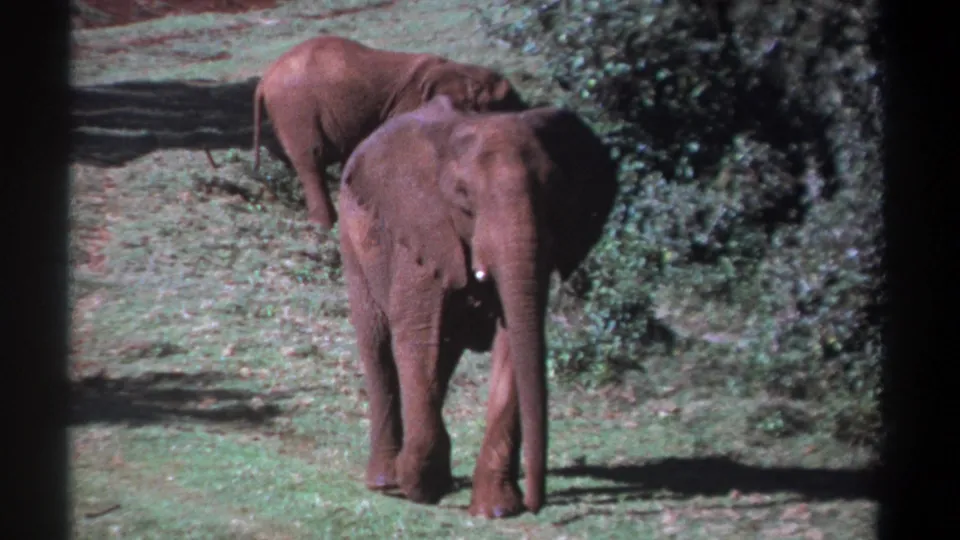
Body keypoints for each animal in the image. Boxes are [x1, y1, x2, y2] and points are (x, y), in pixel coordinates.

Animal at [251, 35, 528, 229]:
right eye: (503, 102)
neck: (459, 69)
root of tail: (264, 80)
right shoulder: (412, 106)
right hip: (295, 108)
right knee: (311, 158)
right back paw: (325, 226)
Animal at [336, 95, 618, 518]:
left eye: (554, 192)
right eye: (463, 197)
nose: (536, 504)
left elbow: (511, 345)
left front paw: (495, 509)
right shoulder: (425, 232)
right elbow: (417, 336)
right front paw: (421, 487)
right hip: (353, 240)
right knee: (378, 345)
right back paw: (387, 481)